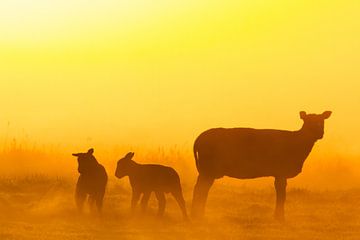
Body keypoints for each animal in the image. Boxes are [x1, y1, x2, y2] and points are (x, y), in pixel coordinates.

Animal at [191, 110, 332, 219]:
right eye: (308, 121)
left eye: (322, 121)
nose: (320, 133)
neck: (297, 145)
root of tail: (198, 138)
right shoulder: (281, 171)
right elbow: (282, 196)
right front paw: (280, 217)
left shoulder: (279, 174)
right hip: (208, 169)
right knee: (200, 189)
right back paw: (198, 215)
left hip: (206, 170)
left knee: (201, 189)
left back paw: (198, 214)